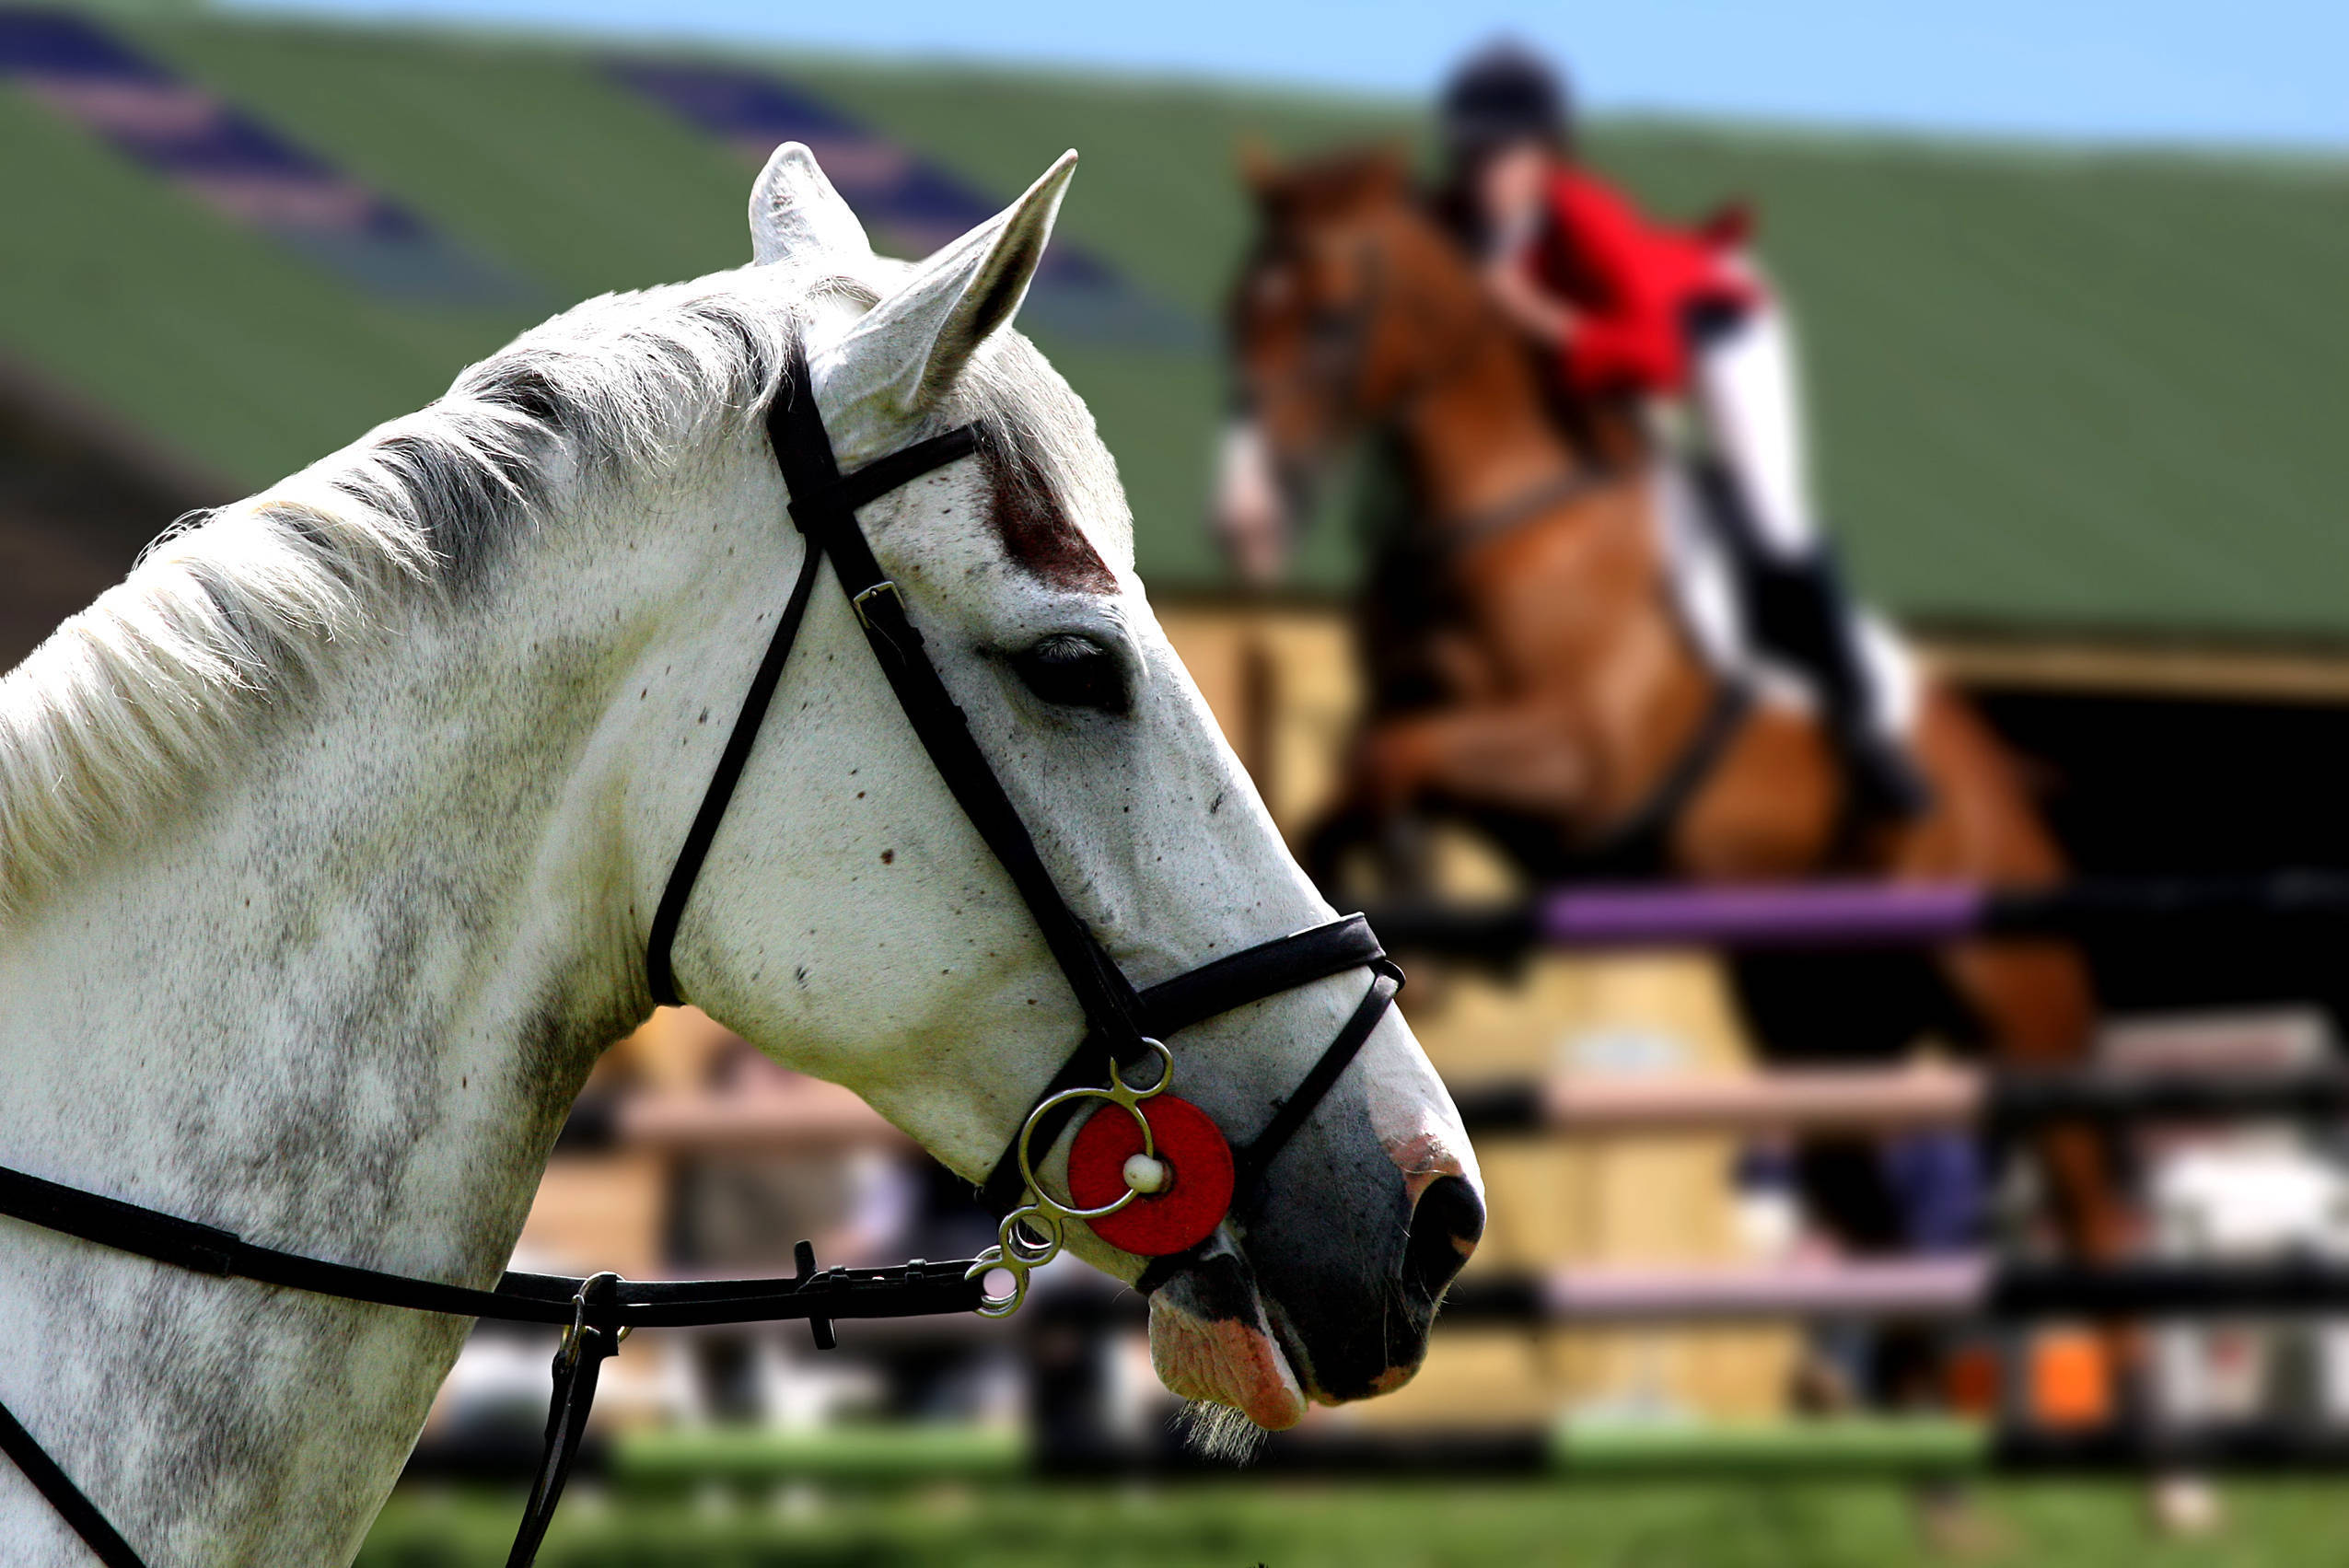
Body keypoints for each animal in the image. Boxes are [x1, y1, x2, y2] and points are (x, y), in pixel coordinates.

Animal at [1214, 148, 2123, 1359]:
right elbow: (1363, 764)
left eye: (1324, 318)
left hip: (2015, 986)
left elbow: (1394, 756)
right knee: (1879, 1226)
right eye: (1238, 311)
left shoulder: (1581, 763)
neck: (1505, 509)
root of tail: (2003, 777)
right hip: (1819, 1010)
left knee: (2089, 1196)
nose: (1242, 518)